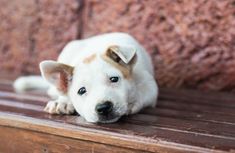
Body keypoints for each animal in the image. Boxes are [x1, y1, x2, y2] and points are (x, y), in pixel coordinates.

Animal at [14, 32, 158, 123]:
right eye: (81, 91)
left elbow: (143, 93)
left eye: (114, 79)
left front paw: (132, 102)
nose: (103, 107)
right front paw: (63, 102)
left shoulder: (150, 85)